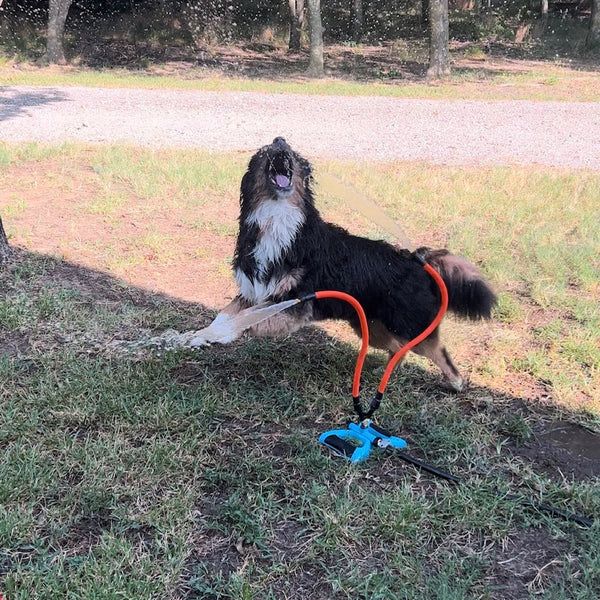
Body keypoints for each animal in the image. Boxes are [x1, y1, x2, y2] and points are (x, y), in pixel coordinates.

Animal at [192, 136, 496, 392]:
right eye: (262, 151)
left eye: (296, 155)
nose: (280, 139)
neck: (277, 220)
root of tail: (419, 261)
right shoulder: (253, 290)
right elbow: (225, 314)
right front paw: (200, 335)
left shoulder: (293, 302)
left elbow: (245, 319)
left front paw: (219, 335)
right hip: (373, 326)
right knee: (399, 347)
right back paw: (382, 373)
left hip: (407, 323)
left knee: (434, 350)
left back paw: (456, 383)